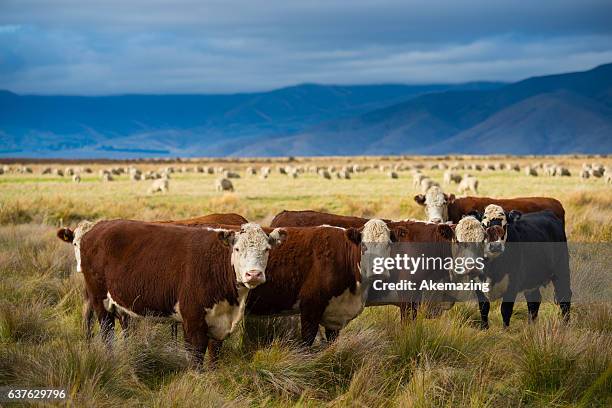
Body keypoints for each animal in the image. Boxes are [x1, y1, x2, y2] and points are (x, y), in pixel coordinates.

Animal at [56, 220, 286, 366]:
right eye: (237, 249)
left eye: (266, 249)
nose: (253, 274)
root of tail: (98, 227)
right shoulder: (193, 321)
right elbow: (195, 360)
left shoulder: (219, 324)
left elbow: (214, 358)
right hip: (99, 299)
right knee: (106, 332)